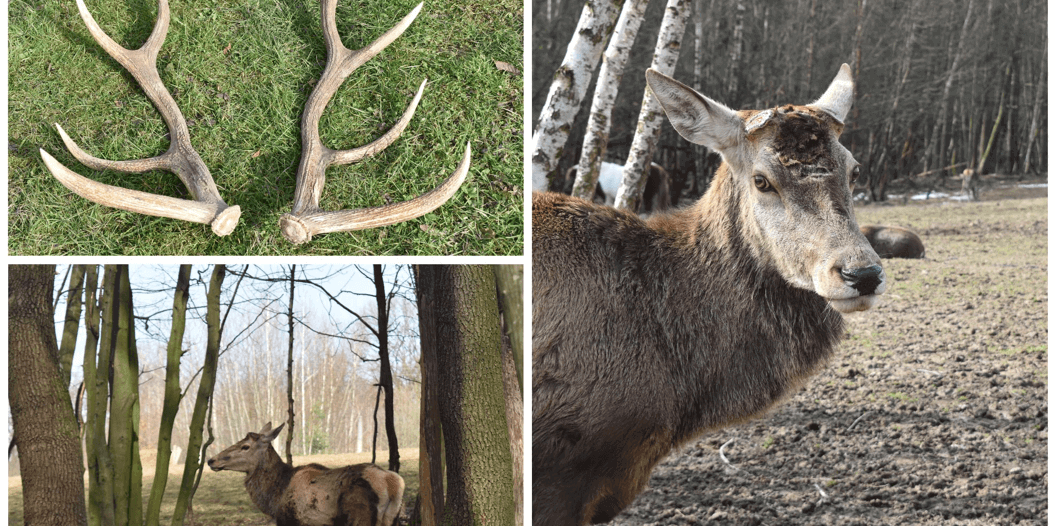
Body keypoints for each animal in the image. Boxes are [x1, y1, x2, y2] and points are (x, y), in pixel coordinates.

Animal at [208, 422, 404, 526]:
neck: (273, 498)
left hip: (359, 517)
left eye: (245, 446)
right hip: (392, 518)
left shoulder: (288, 520)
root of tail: (392, 483)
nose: (211, 460)